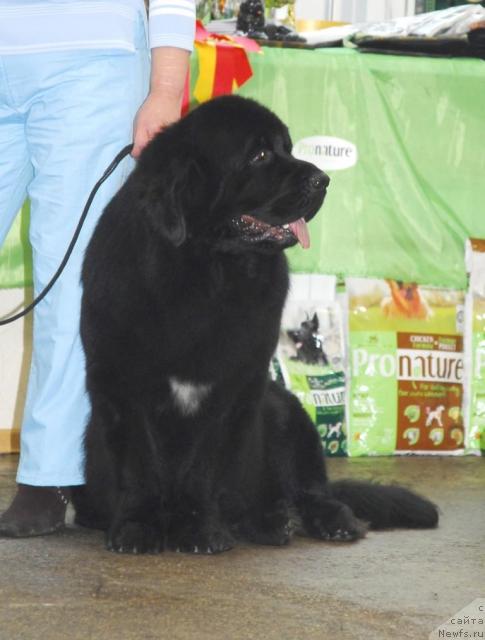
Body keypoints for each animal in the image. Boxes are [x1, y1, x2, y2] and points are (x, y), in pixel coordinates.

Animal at [73, 96, 438, 556]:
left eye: (288, 147)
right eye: (260, 155)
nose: (322, 180)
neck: (206, 271)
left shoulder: (235, 386)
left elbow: (204, 468)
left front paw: (200, 531)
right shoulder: (121, 382)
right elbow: (139, 465)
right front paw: (138, 528)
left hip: (285, 411)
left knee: (310, 491)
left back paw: (303, 521)